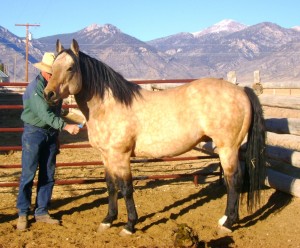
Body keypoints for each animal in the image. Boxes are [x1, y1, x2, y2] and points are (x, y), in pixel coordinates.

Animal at [44, 39, 264, 236]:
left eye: (71, 68)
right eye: (53, 67)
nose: (48, 94)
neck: (109, 106)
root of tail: (241, 90)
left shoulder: (121, 156)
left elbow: (126, 188)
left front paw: (129, 225)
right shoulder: (106, 157)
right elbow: (111, 186)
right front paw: (108, 220)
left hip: (228, 148)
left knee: (234, 180)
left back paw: (228, 224)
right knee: (231, 180)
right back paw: (225, 219)